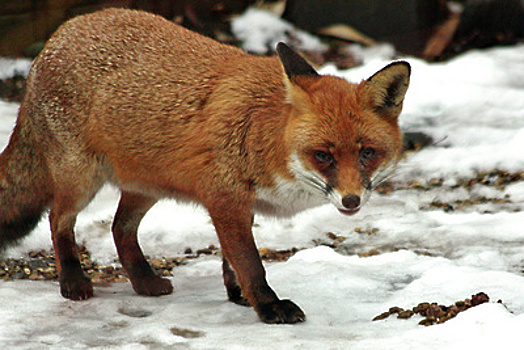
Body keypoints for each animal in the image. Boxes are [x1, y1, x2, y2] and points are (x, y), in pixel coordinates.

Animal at [0, 8, 410, 324]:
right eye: (323, 155)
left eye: (367, 153)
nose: (351, 200)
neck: (263, 135)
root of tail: (58, 35)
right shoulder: (224, 198)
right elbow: (250, 263)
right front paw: (269, 307)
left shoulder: (237, 204)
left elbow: (232, 261)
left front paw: (240, 296)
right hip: (81, 179)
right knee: (58, 220)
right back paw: (73, 282)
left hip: (147, 186)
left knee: (119, 228)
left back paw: (145, 281)